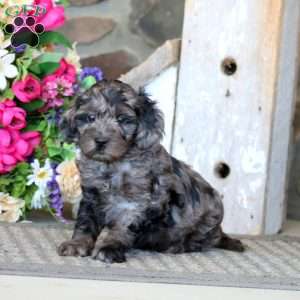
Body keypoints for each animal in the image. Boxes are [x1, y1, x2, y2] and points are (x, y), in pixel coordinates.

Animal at [57, 79, 245, 262]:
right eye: (90, 117)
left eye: (122, 119)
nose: (100, 141)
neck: (111, 164)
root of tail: (219, 232)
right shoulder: (91, 195)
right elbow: (84, 222)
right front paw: (77, 244)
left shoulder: (133, 202)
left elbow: (120, 226)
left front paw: (108, 247)